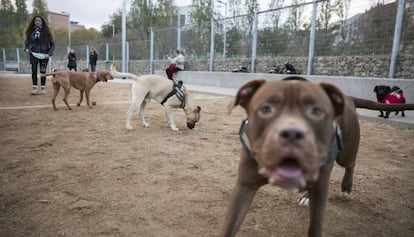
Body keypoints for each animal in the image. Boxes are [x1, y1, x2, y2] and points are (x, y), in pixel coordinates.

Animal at [222, 77, 414, 236]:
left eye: (316, 111)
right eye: (265, 109)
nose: (292, 133)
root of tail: (348, 98)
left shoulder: (321, 190)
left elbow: (315, 227)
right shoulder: (244, 186)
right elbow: (229, 226)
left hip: (345, 152)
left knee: (351, 163)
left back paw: (346, 187)